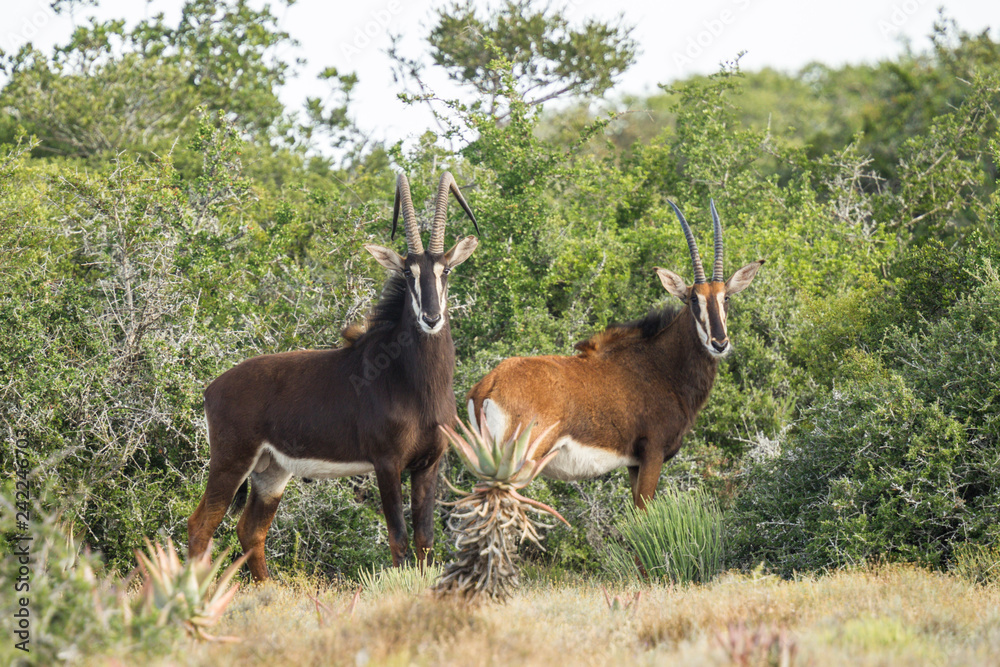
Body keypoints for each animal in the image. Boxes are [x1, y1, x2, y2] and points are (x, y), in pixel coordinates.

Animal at [188, 172, 480, 580]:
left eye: (445, 271)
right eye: (408, 273)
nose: (431, 318)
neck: (413, 383)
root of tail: (212, 387)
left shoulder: (428, 465)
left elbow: (425, 541)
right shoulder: (387, 464)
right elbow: (399, 539)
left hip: (271, 471)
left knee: (250, 530)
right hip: (231, 463)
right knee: (201, 525)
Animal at [467, 200, 763, 508]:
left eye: (725, 297)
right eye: (694, 299)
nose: (720, 343)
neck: (661, 365)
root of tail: (488, 386)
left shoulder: (633, 464)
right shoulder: (652, 453)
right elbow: (644, 511)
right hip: (517, 465)